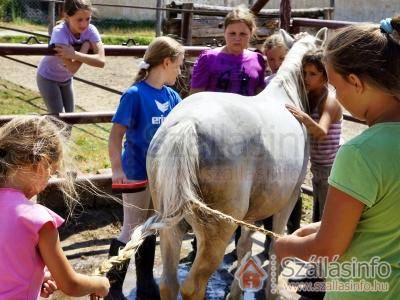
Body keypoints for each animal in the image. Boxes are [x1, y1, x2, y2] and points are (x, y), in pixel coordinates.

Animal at [139, 28, 326, 300]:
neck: (287, 96)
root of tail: (187, 125)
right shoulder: (288, 200)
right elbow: (276, 243)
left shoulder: (250, 215)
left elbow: (244, 247)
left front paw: (237, 292)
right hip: (216, 230)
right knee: (192, 286)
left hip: (170, 225)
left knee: (168, 283)